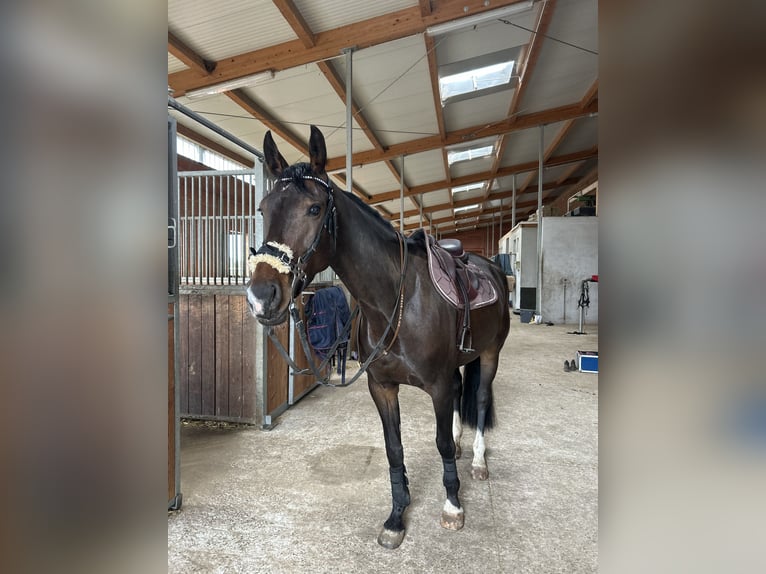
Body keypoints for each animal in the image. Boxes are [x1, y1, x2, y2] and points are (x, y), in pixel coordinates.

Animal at [248, 125, 510, 548]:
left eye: (314, 209)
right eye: (262, 208)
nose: (261, 295)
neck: (394, 301)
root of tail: (490, 267)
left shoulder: (437, 386)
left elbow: (438, 442)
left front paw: (453, 506)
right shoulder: (382, 387)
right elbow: (394, 449)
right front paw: (396, 518)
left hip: (490, 355)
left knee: (482, 400)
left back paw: (478, 461)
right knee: (460, 397)